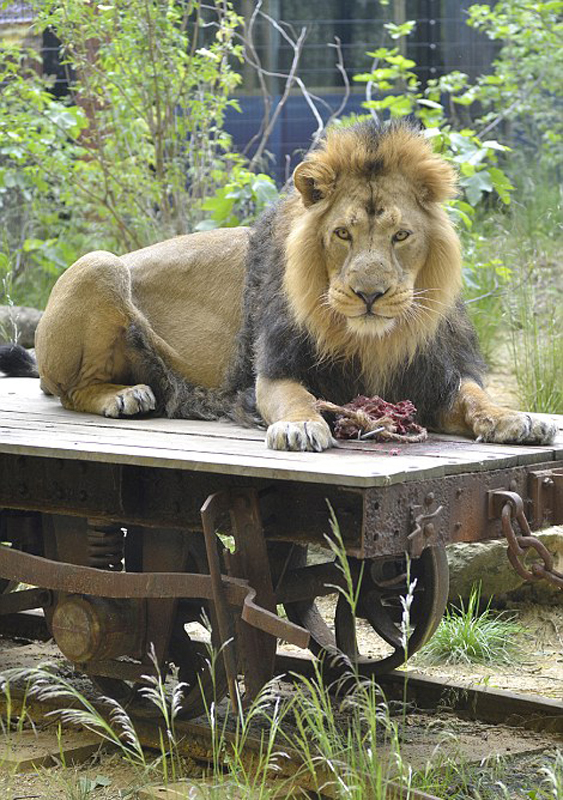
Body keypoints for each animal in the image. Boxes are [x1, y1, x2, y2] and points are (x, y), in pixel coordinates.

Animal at [0, 122, 556, 454]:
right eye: (342, 234)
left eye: (401, 236)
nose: (370, 295)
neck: (372, 341)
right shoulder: (272, 371)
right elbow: (296, 398)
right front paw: (301, 426)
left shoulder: (434, 376)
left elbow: (476, 398)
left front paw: (516, 418)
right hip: (99, 264)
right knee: (70, 390)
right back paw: (125, 395)